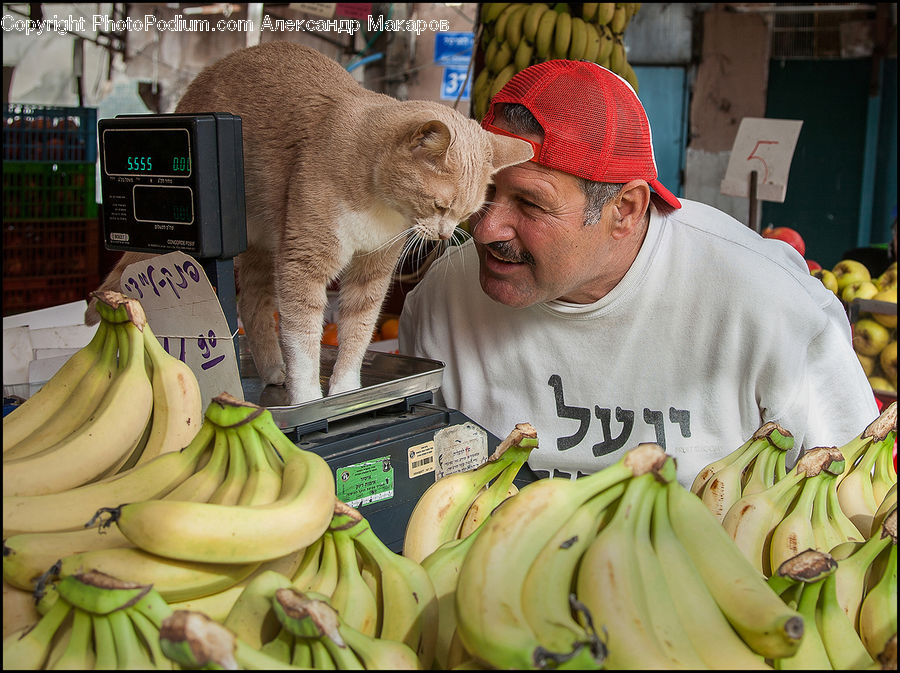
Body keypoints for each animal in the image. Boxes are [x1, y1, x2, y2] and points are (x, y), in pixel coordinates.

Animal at [86, 42, 536, 404]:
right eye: (440, 206)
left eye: (465, 214)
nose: (444, 234)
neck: (379, 207)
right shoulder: (303, 262)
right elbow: (302, 337)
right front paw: (306, 398)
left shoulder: (372, 272)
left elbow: (357, 330)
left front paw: (345, 391)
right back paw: (281, 376)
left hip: (265, 244)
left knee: (253, 302)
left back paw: (272, 371)